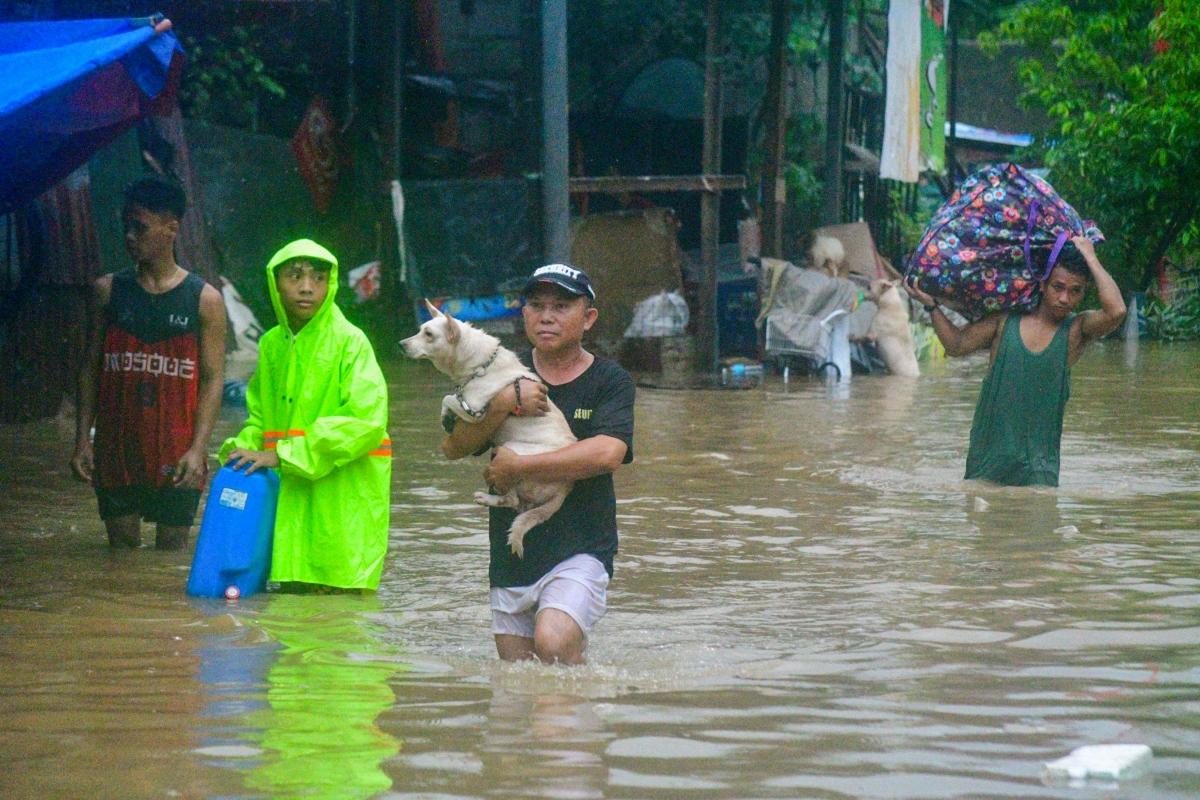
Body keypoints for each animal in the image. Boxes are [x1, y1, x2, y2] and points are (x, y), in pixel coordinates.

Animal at [398, 299, 576, 556]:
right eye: (421, 329)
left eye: (429, 334)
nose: (400, 344)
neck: (480, 365)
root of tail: (565, 487)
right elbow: (451, 398)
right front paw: (447, 419)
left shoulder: (475, 410)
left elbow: (449, 397)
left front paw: (446, 417)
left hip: (512, 452)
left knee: (512, 500)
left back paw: (485, 497)